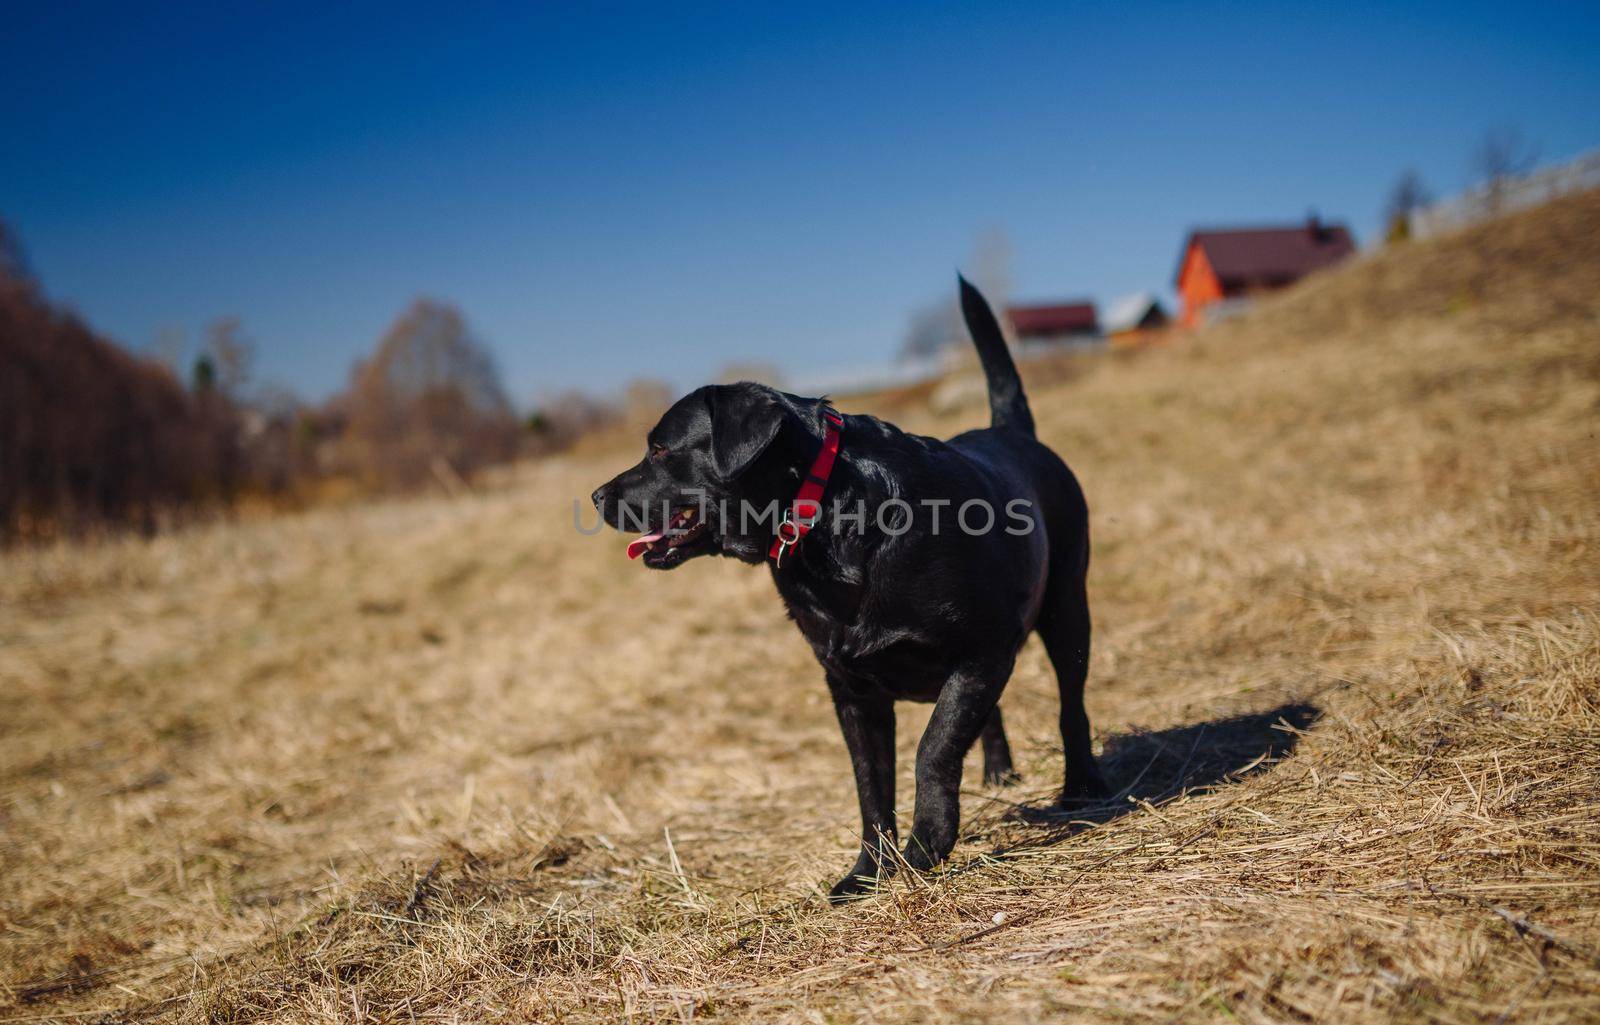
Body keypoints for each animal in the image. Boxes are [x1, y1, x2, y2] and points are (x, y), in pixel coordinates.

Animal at [595, 278, 1107, 895]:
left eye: (660, 449)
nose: (596, 496)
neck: (826, 519)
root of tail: (1011, 431)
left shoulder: (980, 651)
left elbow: (933, 747)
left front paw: (927, 844)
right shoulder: (850, 688)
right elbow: (871, 783)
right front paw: (868, 872)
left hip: (1067, 609)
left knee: (1070, 705)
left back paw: (1082, 786)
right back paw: (999, 772)